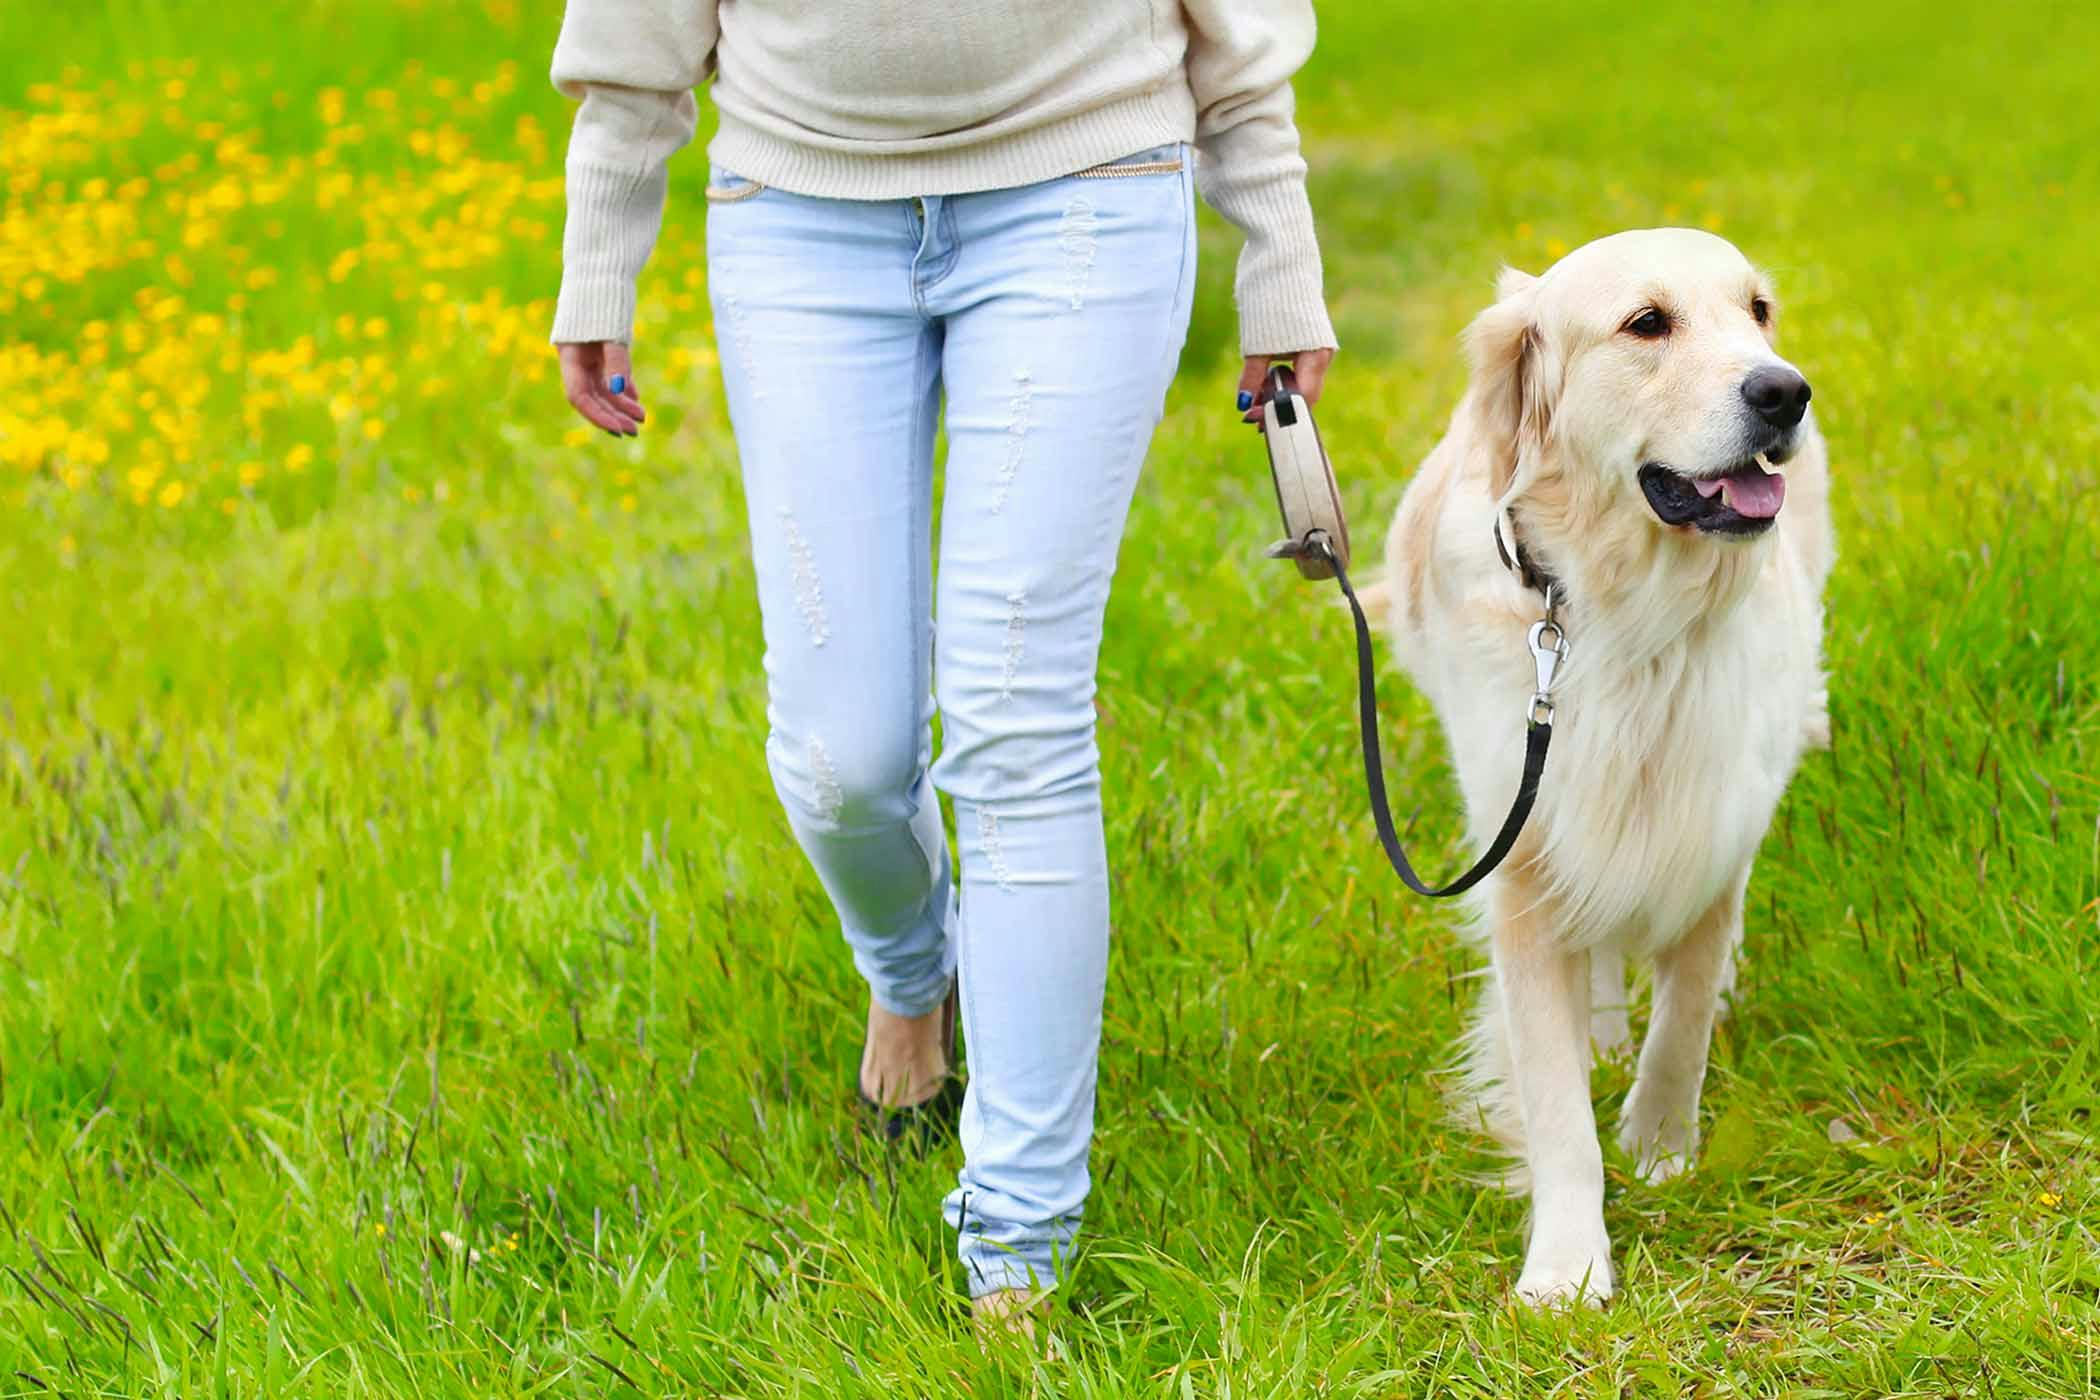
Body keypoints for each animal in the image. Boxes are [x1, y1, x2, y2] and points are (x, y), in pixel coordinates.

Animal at [1360, 224, 1839, 1309]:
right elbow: (1554, 1100)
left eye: (1757, 310)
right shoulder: (1528, 855)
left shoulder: (1712, 826)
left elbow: (1687, 1015)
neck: (1632, 622)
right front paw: (1567, 1265)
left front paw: (1662, 1146)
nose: (1785, 390)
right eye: (1646, 324)